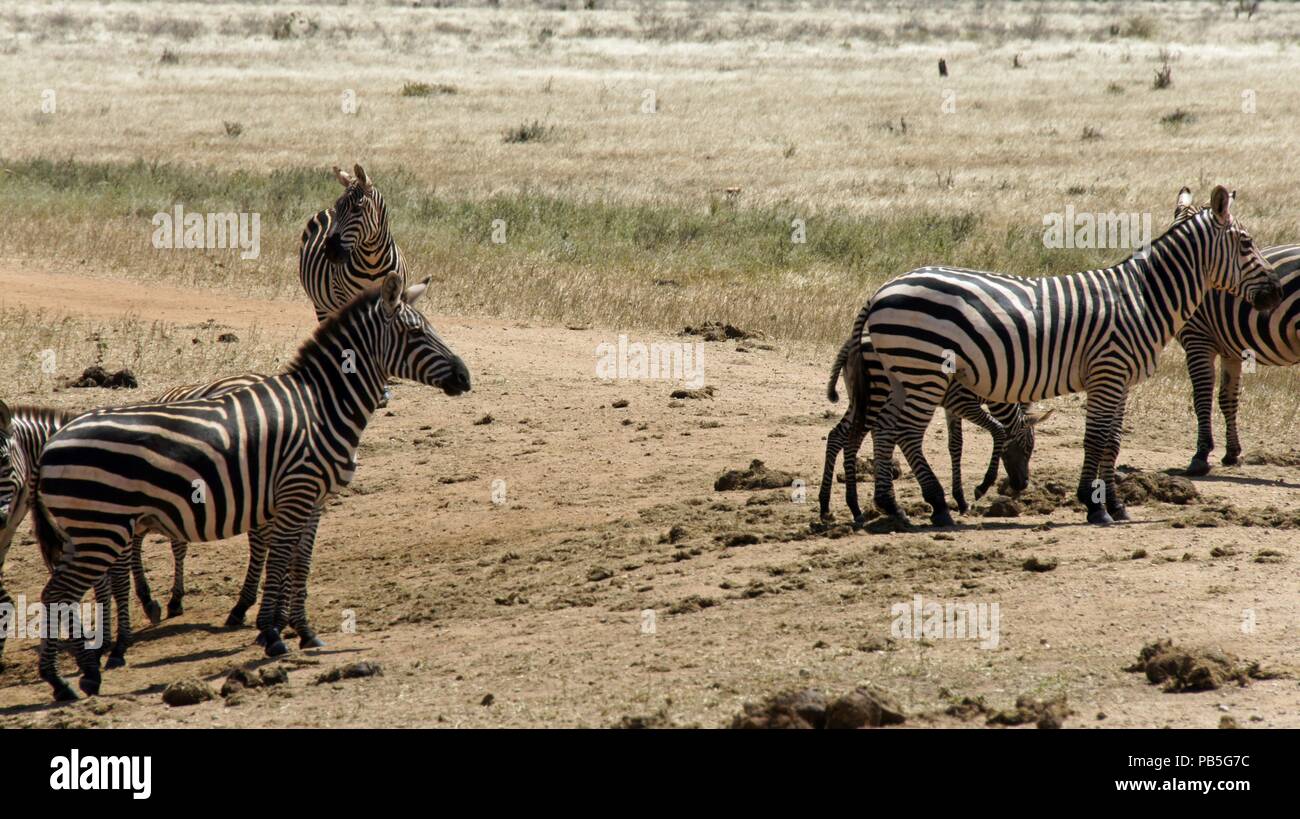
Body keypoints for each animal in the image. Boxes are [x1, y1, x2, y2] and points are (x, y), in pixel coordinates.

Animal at [31, 272, 470, 701]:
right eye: (415, 333)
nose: (465, 377)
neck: (322, 406)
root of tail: (52, 442)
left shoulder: (314, 500)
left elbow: (300, 562)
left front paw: (304, 632)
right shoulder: (296, 491)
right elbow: (279, 560)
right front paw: (272, 634)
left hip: (85, 529)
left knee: (59, 593)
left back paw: (83, 675)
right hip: (101, 526)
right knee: (58, 594)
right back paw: (64, 682)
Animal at [820, 336, 1049, 526]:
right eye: (1028, 448)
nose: (1022, 485)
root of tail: (850, 343)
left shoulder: (952, 407)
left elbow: (956, 445)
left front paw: (961, 500)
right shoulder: (961, 401)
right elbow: (998, 429)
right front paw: (982, 486)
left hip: (860, 399)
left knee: (839, 436)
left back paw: (838, 508)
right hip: (876, 396)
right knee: (852, 439)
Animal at [862, 185, 1281, 527]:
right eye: (1247, 243)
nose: (1276, 292)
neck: (1143, 298)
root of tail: (885, 287)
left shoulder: (1120, 380)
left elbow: (1112, 441)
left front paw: (1115, 504)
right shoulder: (1107, 371)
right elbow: (1095, 439)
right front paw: (1094, 506)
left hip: (903, 372)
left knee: (884, 427)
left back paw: (892, 508)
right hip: (924, 370)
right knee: (907, 432)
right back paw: (938, 506)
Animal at [1169, 194, 1300, 475]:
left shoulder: (1198, 339)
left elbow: (1202, 396)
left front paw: (1201, 454)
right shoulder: (1231, 350)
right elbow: (1227, 398)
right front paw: (1232, 453)